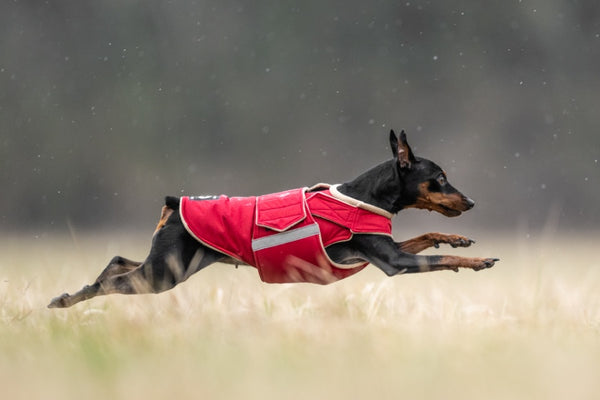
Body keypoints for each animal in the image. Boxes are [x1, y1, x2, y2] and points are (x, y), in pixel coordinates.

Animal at [48, 131, 496, 310]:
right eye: (439, 178)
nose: (472, 201)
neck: (366, 196)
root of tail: (175, 205)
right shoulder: (393, 263)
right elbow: (439, 259)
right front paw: (478, 261)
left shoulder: (384, 251)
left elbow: (429, 234)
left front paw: (457, 239)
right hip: (165, 274)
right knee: (109, 283)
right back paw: (65, 299)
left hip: (171, 264)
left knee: (118, 263)